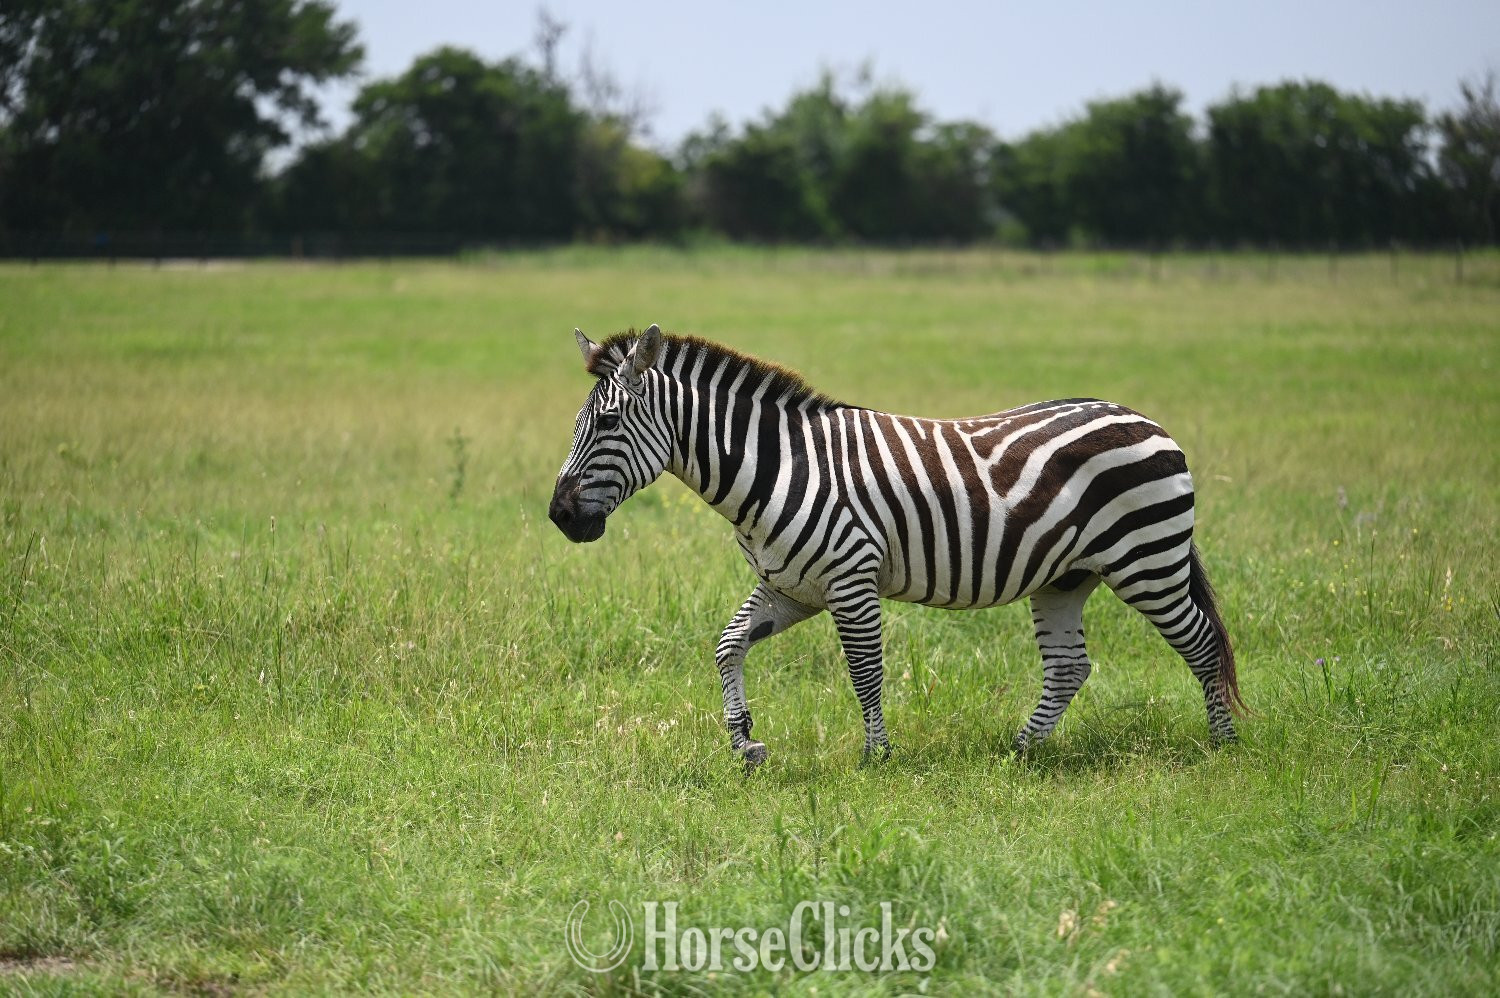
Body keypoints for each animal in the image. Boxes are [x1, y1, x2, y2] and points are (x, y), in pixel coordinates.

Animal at [550, 324, 1245, 768]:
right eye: (578, 423)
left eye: (607, 422)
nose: (559, 516)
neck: (775, 467)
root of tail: (1145, 418)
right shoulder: (790, 587)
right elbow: (727, 646)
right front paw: (745, 743)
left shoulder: (849, 578)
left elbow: (864, 669)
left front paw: (876, 756)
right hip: (1066, 577)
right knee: (1070, 666)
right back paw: (1020, 752)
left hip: (1146, 560)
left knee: (1202, 641)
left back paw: (1224, 746)